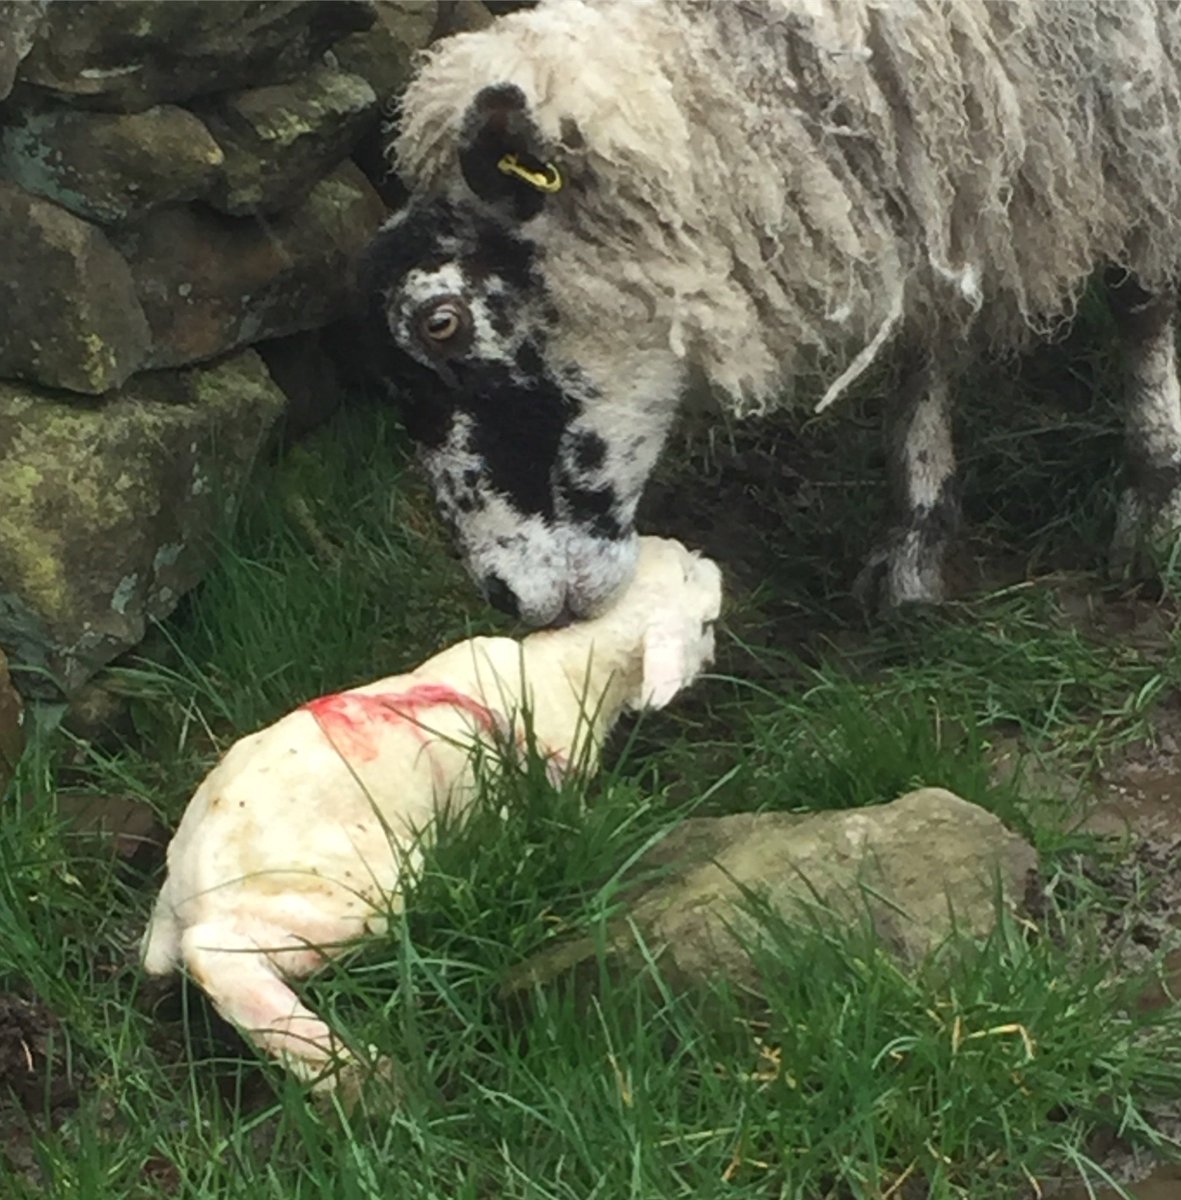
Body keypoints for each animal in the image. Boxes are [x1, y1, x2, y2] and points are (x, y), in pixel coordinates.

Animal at [139, 535, 722, 1096]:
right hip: (352, 889)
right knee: (218, 959)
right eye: (705, 616)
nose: (714, 567)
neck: (567, 665)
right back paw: (347, 1063)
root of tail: (187, 886)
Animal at [361, 0, 1181, 623]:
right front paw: (915, 533)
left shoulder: (1138, 89)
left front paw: (1155, 500)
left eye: (442, 321)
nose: (508, 597)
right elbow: (926, 329)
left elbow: (1139, 298)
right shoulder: (936, 160)